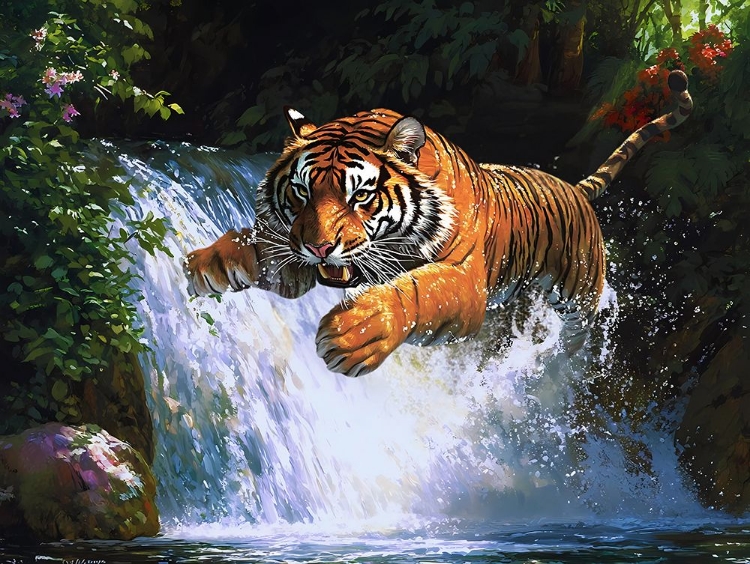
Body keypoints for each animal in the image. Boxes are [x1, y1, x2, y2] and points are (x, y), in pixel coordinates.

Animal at [184, 70, 692, 378]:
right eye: (302, 192)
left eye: (359, 195)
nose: (320, 248)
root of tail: (576, 188)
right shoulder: (298, 256)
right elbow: (266, 247)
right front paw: (209, 262)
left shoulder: (466, 282)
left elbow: (421, 291)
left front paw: (356, 334)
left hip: (579, 298)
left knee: (578, 335)